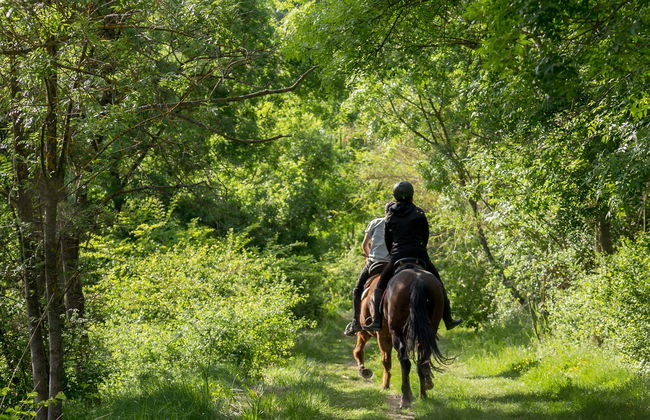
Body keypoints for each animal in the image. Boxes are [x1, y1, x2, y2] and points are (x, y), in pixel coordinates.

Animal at [352, 266, 449, 409]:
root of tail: (417, 280)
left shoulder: (377, 334)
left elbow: (375, 357)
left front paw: (380, 382)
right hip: (428, 328)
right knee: (423, 360)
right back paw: (423, 393)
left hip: (395, 333)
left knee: (404, 361)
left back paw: (405, 399)